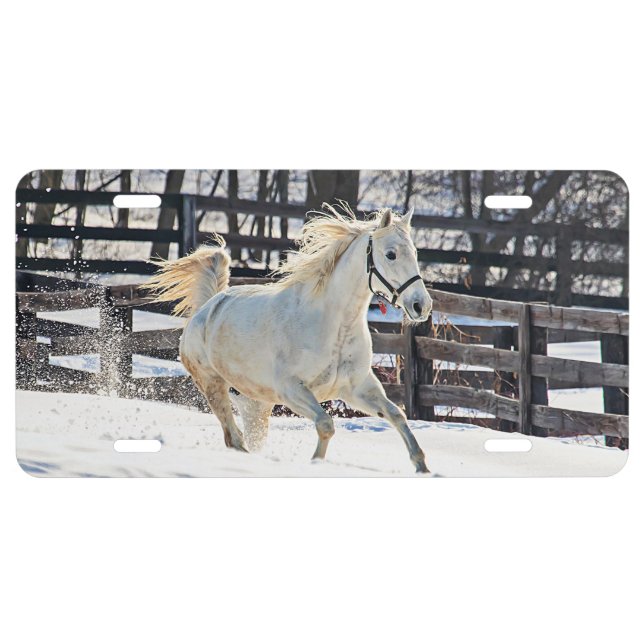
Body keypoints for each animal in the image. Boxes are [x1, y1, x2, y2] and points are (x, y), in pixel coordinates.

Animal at [146, 204, 433, 473]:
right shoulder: (291, 390)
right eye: (391, 254)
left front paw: (422, 466)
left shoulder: (357, 388)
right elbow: (326, 424)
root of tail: (206, 308)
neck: (334, 327)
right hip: (212, 385)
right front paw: (315, 463)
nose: (422, 305)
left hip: (256, 403)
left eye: (415, 253)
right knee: (233, 437)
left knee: (245, 436)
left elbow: (397, 414)